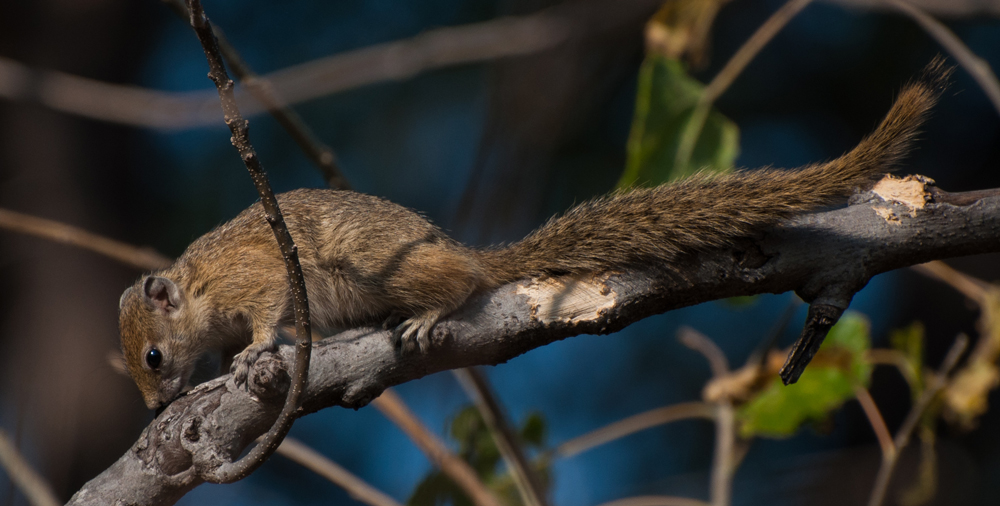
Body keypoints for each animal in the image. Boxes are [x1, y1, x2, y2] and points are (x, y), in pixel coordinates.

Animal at [121, 59, 948, 410]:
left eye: (154, 356)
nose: (157, 408)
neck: (196, 291)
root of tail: (458, 246)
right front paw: (229, 371)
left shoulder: (254, 275)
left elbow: (267, 315)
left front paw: (251, 356)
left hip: (373, 264)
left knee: (458, 283)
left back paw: (432, 308)